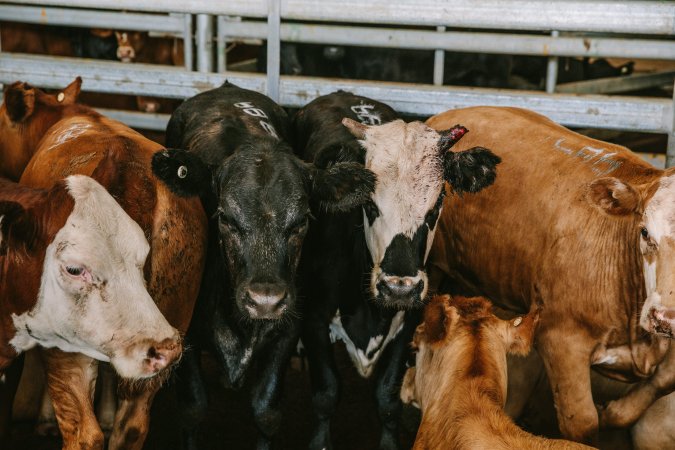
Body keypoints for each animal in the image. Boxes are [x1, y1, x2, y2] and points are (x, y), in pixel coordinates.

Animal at [151, 81, 378, 450]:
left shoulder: (288, 329)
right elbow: (193, 409)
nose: (265, 300)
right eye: (225, 218)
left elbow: (266, 411)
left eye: (302, 221)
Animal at [292, 91, 502, 450]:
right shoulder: (314, 317)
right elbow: (326, 394)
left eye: (438, 202)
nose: (399, 287)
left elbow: (387, 398)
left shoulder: (411, 319)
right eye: (368, 203)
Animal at [430, 106, 675, 446]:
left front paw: (614, 411)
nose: (665, 318)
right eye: (645, 232)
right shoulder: (561, 339)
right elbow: (582, 424)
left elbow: (663, 380)